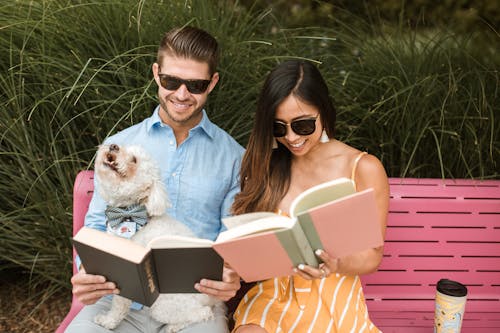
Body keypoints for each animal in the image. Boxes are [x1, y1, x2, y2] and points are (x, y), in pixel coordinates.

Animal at [92, 143, 225, 332]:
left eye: (134, 160)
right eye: (122, 145)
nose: (113, 145)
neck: (130, 214)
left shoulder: (129, 274)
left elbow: (119, 304)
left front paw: (108, 321)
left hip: (162, 305)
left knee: (203, 313)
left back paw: (173, 327)